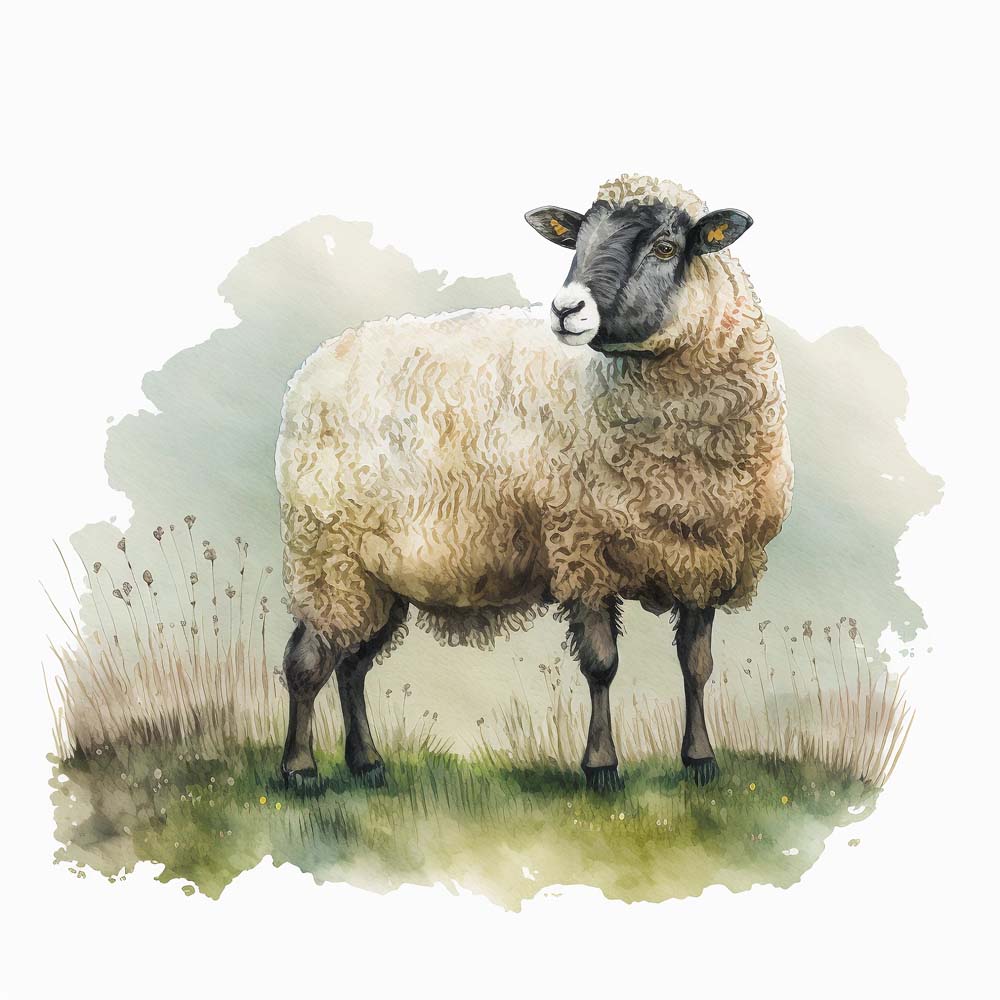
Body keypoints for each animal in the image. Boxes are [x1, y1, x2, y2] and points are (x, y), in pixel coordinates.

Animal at [276, 174, 793, 790]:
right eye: (578, 242)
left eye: (666, 247)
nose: (567, 309)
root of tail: (314, 367)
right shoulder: (582, 546)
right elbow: (601, 666)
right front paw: (601, 767)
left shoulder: (702, 557)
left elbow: (697, 665)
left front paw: (700, 760)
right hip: (327, 552)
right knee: (306, 662)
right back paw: (300, 771)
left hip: (378, 573)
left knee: (352, 662)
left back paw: (367, 764)